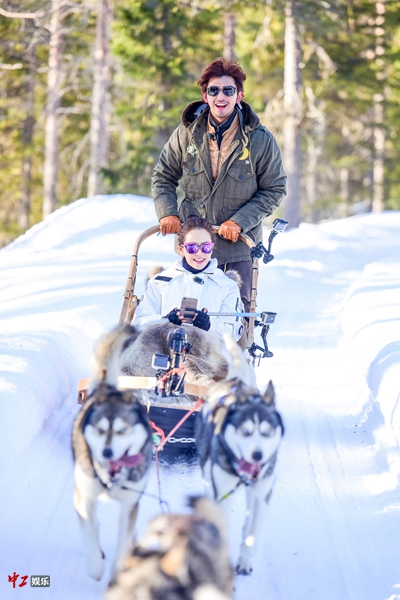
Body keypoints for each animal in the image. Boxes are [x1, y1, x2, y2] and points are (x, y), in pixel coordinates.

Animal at [72, 326, 153, 580]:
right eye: (100, 430)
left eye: (122, 430)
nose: (107, 453)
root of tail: (106, 388)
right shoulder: (83, 498)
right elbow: (88, 531)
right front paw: (95, 566)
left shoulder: (129, 506)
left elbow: (123, 542)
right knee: (94, 524)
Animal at [195, 336, 282, 576]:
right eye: (244, 431)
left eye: (267, 432)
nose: (257, 455)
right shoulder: (222, 493)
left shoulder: (263, 495)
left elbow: (251, 535)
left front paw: (245, 559)